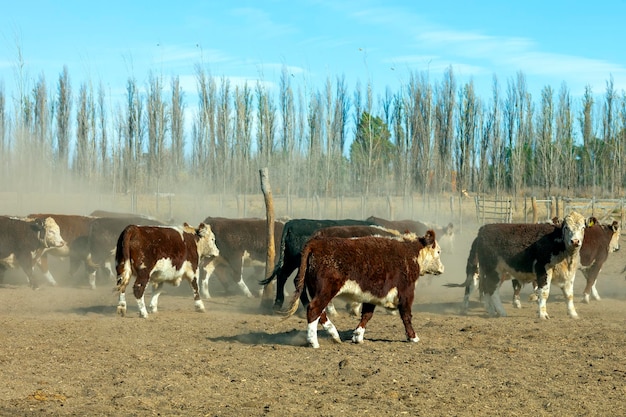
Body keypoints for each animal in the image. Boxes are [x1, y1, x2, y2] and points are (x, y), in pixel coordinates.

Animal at [282, 231, 444, 348]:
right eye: (438, 252)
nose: (442, 268)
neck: (409, 253)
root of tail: (317, 243)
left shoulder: (372, 295)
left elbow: (367, 315)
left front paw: (358, 336)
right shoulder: (406, 292)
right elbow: (406, 315)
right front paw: (413, 337)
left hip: (315, 290)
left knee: (319, 312)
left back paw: (334, 334)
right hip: (326, 290)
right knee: (314, 309)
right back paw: (314, 342)